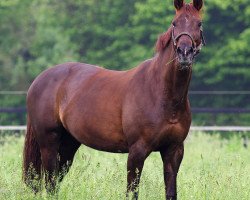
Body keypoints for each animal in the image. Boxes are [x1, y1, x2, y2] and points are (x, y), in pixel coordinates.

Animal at [22, 0, 204, 199]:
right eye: (174, 23)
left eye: (199, 24)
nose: (184, 52)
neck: (163, 95)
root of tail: (39, 79)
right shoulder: (137, 151)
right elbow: (132, 192)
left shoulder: (174, 151)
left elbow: (170, 192)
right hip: (49, 143)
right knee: (51, 182)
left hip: (68, 144)